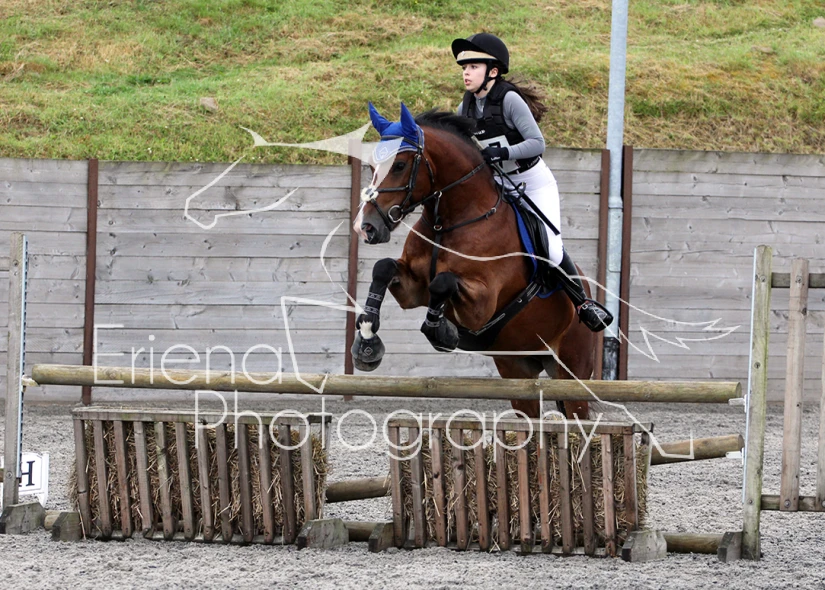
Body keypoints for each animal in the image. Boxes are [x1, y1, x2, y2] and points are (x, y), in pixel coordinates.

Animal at [351, 103, 595, 419]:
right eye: (372, 167)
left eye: (400, 165)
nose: (365, 227)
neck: (449, 222)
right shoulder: (412, 290)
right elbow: (383, 268)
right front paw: (367, 338)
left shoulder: (482, 304)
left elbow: (443, 282)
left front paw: (442, 332)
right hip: (517, 367)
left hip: (572, 368)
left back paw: (593, 312)